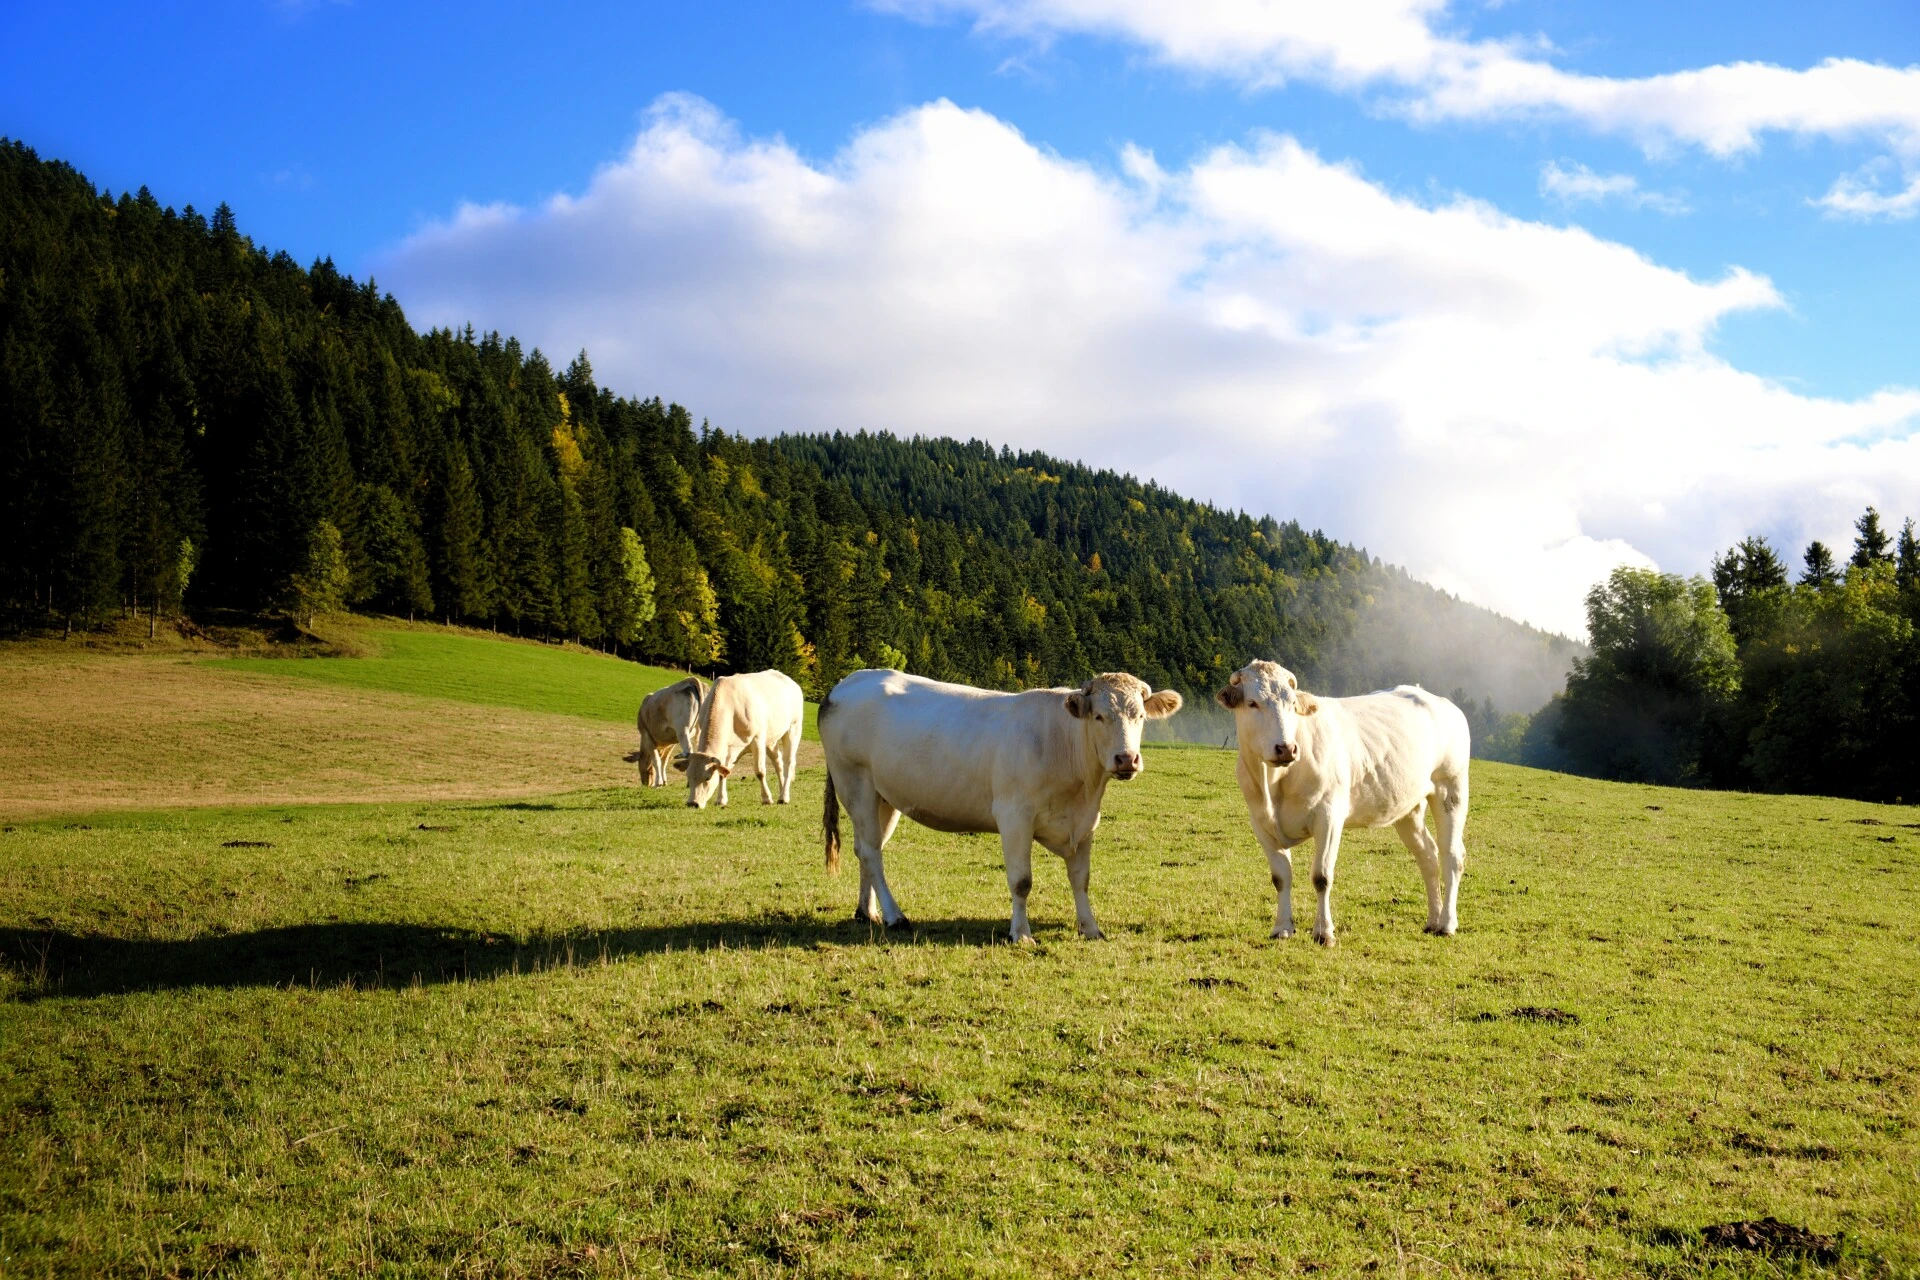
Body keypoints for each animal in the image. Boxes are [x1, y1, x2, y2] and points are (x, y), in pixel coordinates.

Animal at [675, 669, 806, 810]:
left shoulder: (758, 739)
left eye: (707, 778)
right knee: (778, 762)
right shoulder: (728, 748)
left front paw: (767, 798)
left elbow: (760, 771)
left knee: (789, 762)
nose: (692, 803)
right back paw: (782, 791)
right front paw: (721, 800)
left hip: (793, 728)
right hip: (771, 739)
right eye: (688, 778)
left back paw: (784, 797)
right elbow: (723, 772)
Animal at [819, 669, 1182, 940]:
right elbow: (1022, 881)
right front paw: (1020, 934)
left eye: (1139, 716)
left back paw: (867, 912)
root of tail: (844, 684)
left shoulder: (1085, 823)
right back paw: (895, 916)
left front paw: (1090, 928)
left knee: (866, 847)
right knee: (871, 851)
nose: (1126, 759)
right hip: (855, 782)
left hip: (885, 796)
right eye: (1098, 716)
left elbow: (1081, 879)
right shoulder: (1014, 815)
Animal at [1216, 660, 1471, 946]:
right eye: (1252, 703)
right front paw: (1282, 928)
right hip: (1409, 807)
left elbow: (1321, 877)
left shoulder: (1328, 817)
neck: (1274, 782)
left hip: (1451, 788)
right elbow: (1281, 878)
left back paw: (1447, 923)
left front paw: (1324, 932)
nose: (1286, 748)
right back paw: (1433, 920)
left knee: (1452, 855)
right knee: (1427, 855)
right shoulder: (1261, 824)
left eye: (1292, 703)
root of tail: (1439, 701)